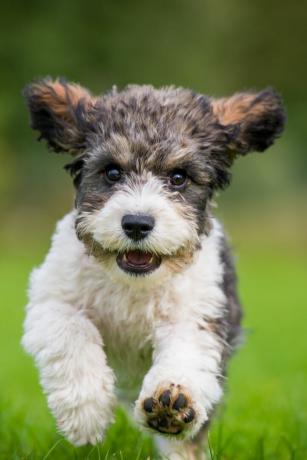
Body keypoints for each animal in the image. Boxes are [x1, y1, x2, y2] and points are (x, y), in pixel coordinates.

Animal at [21, 80, 286, 460]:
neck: (133, 284)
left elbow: (186, 355)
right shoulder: (52, 298)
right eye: (112, 172)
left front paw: (172, 402)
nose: (136, 223)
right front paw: (86, 414)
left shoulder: (198, 315)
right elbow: (71, 330)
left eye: (178, 177)